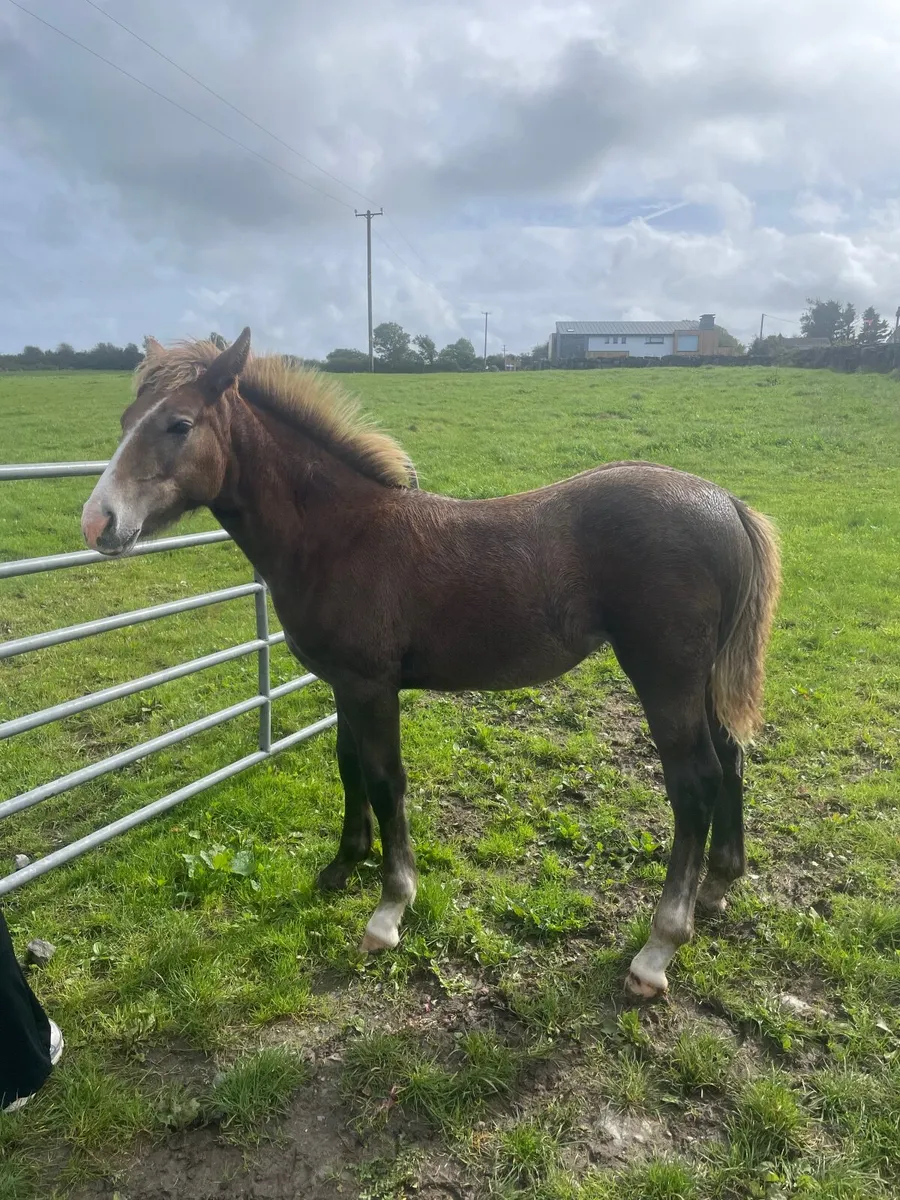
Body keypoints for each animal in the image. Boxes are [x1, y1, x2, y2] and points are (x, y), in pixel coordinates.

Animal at [81, 328, 781, 998]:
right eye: (124, 418)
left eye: (179, 424)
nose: (97, 523)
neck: (339, 533)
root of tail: (726, 503)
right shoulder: (345, 683)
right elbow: (348, 765)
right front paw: (343, 864)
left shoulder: (372, 686)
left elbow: (386, 779)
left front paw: (390, 908)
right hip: (700, 680)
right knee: (731, 759)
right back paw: (719, 885)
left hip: (664, 676)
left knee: (694, 782)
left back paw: (658, 948)